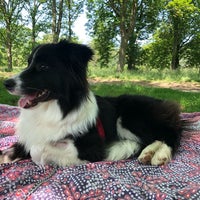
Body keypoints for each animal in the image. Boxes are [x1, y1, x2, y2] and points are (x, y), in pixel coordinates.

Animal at [0, 40, 186, 167]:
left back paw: (160, 154)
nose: (6, 83)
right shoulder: (31, 135)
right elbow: (22, 146)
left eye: (43, 67)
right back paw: (148, 153)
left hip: (128, 118)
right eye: (28, 63)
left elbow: (36, 150)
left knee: (171, 134)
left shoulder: (91, 148)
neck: (53, 109)